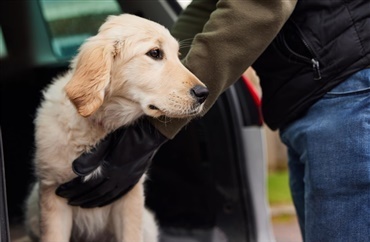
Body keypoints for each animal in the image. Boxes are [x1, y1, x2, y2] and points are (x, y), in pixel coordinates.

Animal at [23, 13, 208, 242]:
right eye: (155, 53)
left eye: (177, 55)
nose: (204, 93)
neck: (98, 128)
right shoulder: (52, 195)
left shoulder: (128, 197)